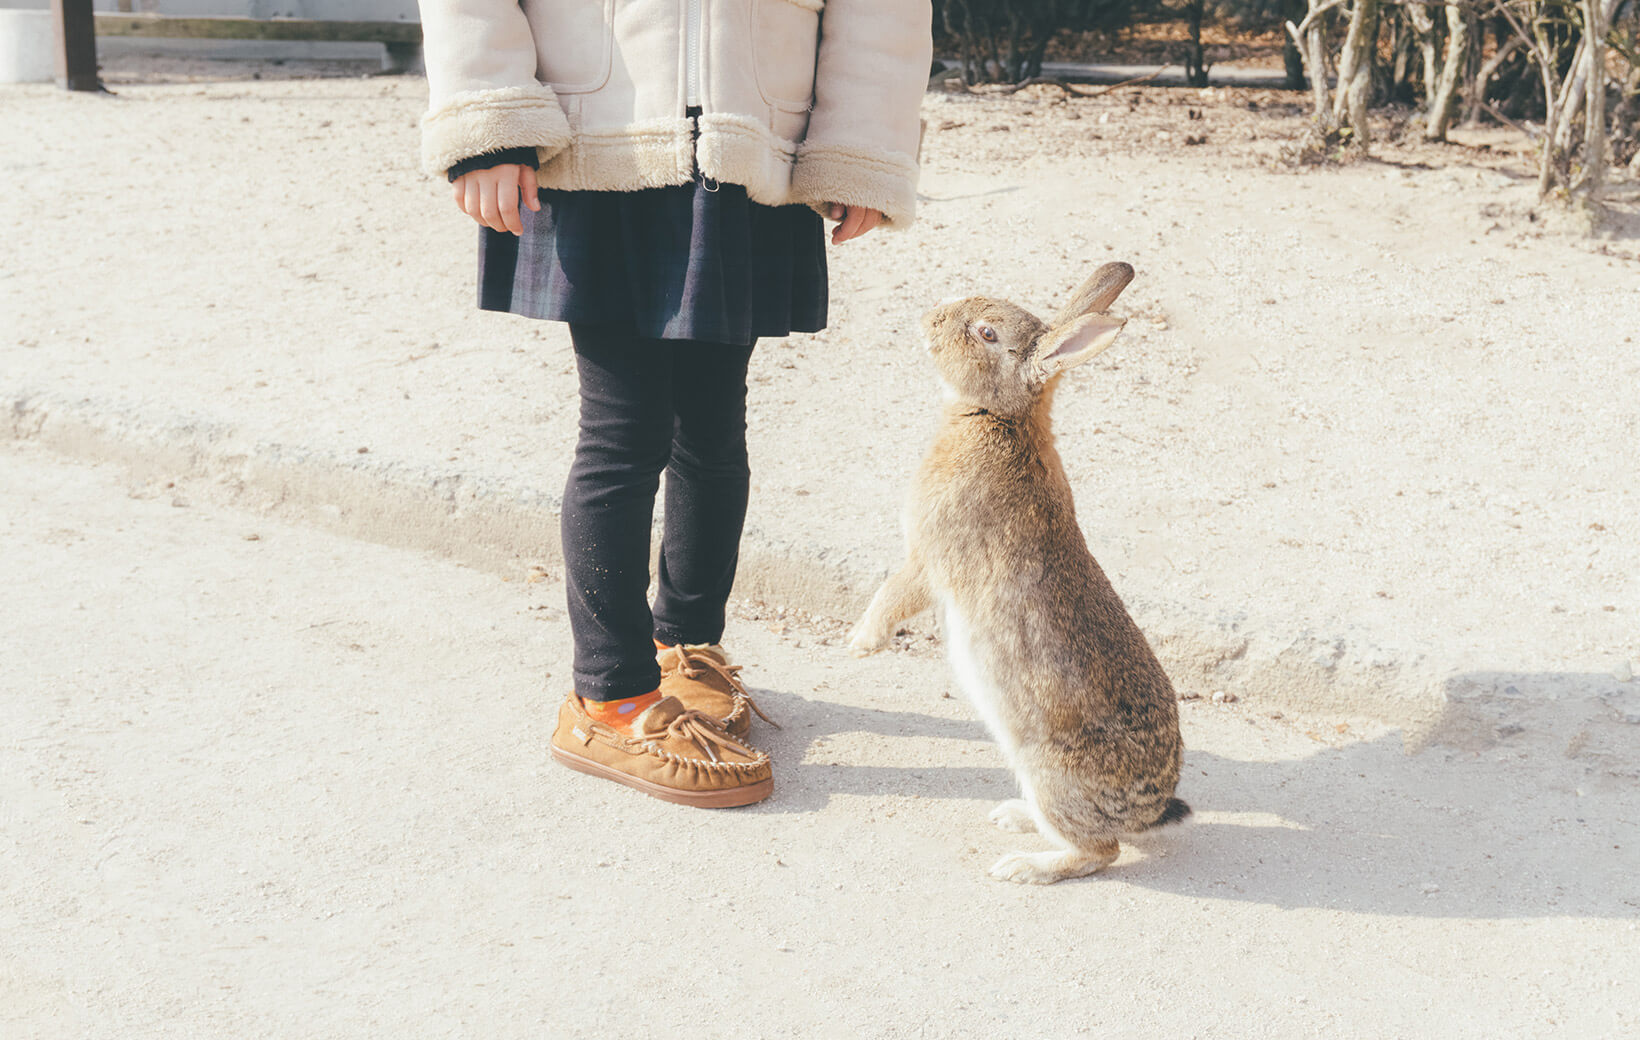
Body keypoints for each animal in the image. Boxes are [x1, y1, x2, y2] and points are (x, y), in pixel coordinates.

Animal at [846, 260, 1193, 885]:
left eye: (985, 333)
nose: (930, 318)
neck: (1000, 419)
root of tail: (1150, 808)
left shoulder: (930, 555)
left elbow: (895, 592)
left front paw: (860, 642)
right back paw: (1013, 818)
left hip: (1049, 775)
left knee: (1098, 852)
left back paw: (1023, 867)